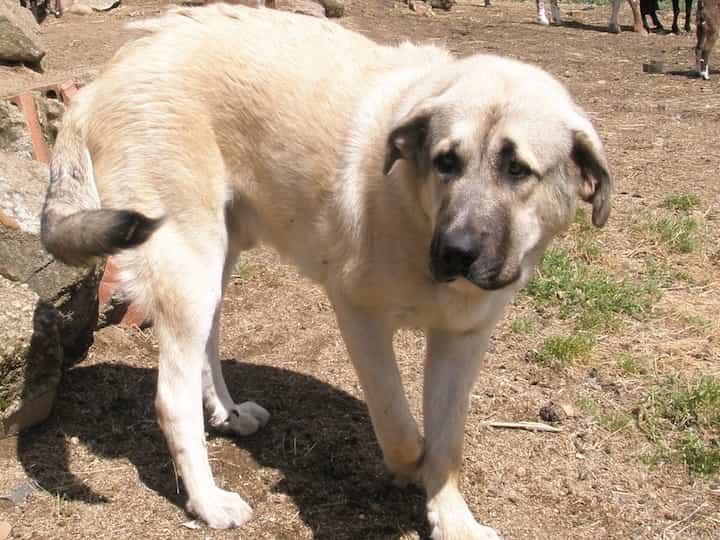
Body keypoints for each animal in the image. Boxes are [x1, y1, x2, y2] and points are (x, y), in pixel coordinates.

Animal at [40, 5, 612, 540]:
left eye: (517, 169)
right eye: (446, 162)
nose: (456, 251)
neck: (415, 208)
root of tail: (102, 81)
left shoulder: (463, 339)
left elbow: (449, 440)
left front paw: (452, 519)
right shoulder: (359, 315)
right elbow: (396, 419)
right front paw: (411, 463)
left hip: (216, 259)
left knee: (207, 346)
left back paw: (228, 413)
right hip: (189, 264)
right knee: (170, 398)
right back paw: (208, 502)